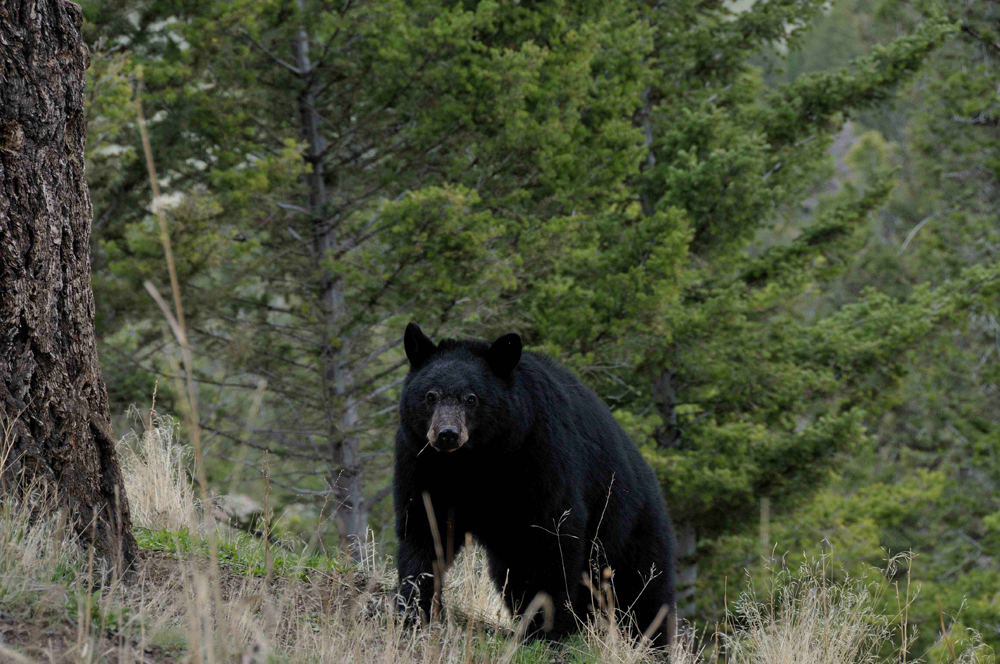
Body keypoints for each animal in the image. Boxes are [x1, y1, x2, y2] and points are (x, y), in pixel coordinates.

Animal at [394, 324, 676, 644]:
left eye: (471, 398)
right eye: (430, 395)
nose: (447, 434)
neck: (473, 464)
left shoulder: (538, 457)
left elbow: (551, 540)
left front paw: (547, 630)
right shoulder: (422, 465)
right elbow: (424, 531)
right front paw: (412, 610)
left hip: (629, 530)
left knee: (643, 594)